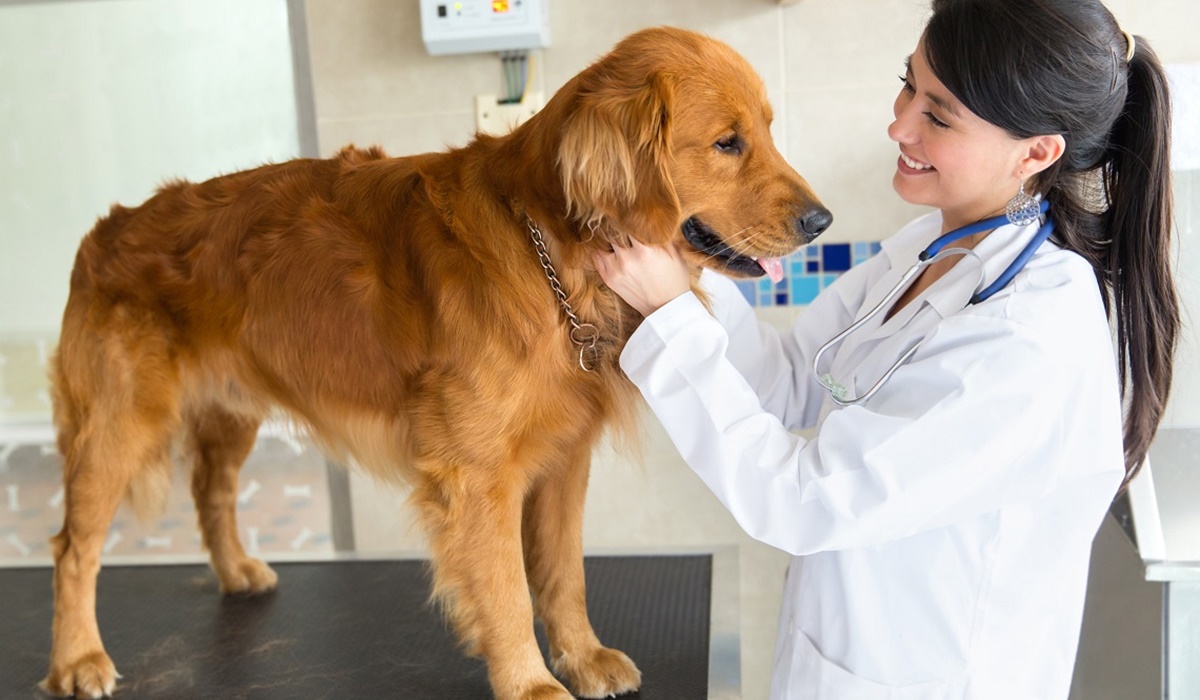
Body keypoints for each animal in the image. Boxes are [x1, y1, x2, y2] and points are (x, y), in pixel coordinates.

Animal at [42, 24, 830, 700]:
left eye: (767, 130)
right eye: (727, 143)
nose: (822, 222)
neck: (550, 251)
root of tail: (104, 230)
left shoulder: (564, 459)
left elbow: (564, 573)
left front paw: (581, 656)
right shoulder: (476, 474)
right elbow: (506, 587)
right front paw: (530, 681)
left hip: (229, 412)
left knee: (212, 490)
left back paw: (236, 570)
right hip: (118, 425)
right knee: (73, 548)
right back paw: (78, 657)